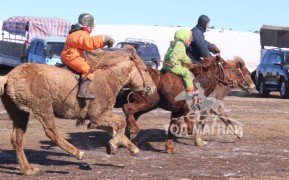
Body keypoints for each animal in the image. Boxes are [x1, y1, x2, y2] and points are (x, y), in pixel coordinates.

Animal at [0, 47, 155, 174]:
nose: (153, 88)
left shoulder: (96, 121)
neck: (107, 79)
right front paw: (112, 145)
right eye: (146, 70)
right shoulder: (98, 116)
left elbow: (116, 130)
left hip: (19, 113)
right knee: (51, 132)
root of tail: (9, 76)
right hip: (43, 108)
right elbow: (121, 123)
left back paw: (28, 169)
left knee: (17, 139)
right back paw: (78, 152)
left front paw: (131, 148)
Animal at [113, 55, 253, 153]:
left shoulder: (180, 111)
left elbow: (176, 126)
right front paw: (198, 141)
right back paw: (133, 131)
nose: (252, 86)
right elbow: (190, 126)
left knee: (132, 114)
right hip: (147, 102)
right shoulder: (197, 109)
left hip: (148, 105)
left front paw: (171, 146)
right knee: (127, 108)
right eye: (245, 72)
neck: (200, 82)